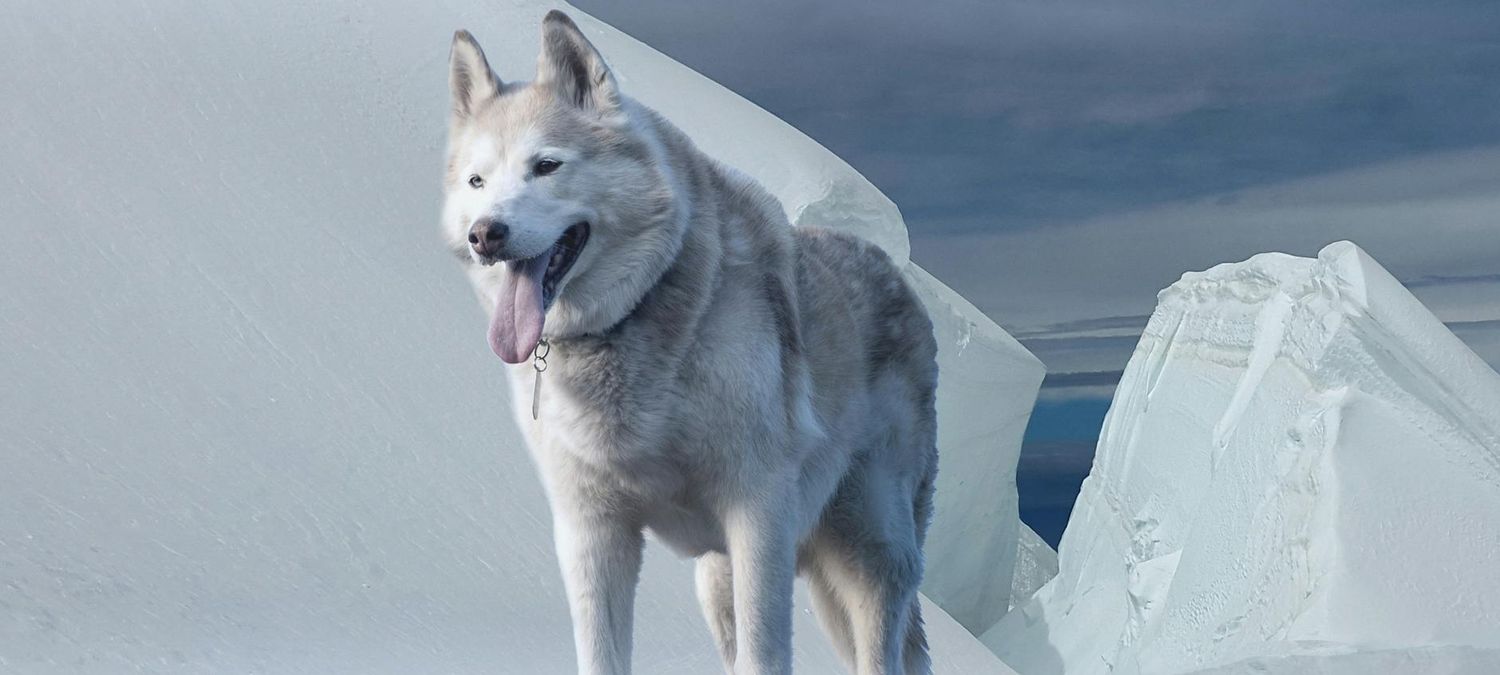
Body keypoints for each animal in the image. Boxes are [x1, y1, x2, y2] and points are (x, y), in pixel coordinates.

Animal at [441, 12, 939, 675]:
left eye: (546, 166)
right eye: (478, 180)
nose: (485, 234)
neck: (629, 322)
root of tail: (894, 271)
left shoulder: (758, 514)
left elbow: (765, 655)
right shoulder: (592, 532)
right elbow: (602, 655)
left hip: (869, 553)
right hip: (717, 577)